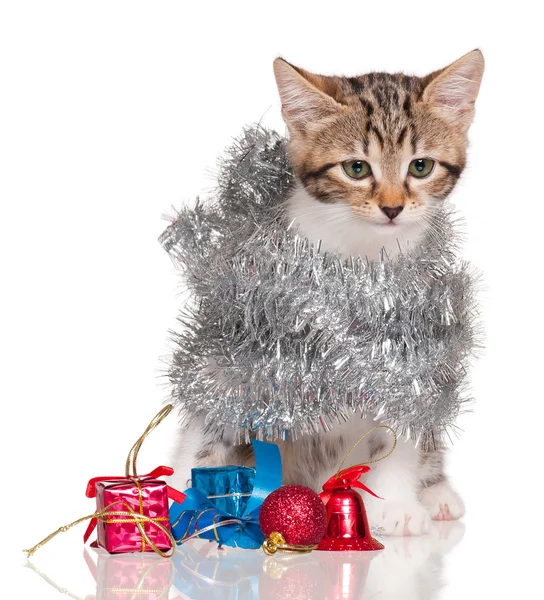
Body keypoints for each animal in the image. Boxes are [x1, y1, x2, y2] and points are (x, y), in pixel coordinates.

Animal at [170, 50, 484, 536]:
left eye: (421, 166)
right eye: (356, 168)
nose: (392, 207)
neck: (359, 258)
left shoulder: (413, 349)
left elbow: (401, 425)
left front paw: (396, 504)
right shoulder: (234, 345)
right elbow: (208, 423)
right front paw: (185, 500)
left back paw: (436, 493)